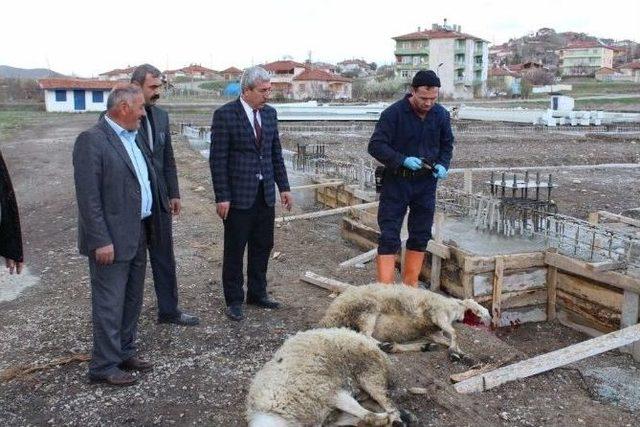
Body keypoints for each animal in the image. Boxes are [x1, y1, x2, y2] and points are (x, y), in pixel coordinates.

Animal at [245, 328, 416, 424]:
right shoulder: (327, 413)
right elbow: (361, 416)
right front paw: (381, 420)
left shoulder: (329, 391)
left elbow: (362, 413)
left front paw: (385, 419)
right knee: (375, 400)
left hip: (370, 373)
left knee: (387, 402)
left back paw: (397, 419)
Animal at [318, 284, 490, 362]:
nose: (488, 321)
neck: (456, 308)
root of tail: (331, 314)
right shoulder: (438, 313)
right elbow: (454, 333)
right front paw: (455, 351)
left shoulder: (433, 332)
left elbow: (447, 339)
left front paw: (460, 352)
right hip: (368, 309)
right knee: (365, 335)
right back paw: (385, 345)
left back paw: (417, 346)